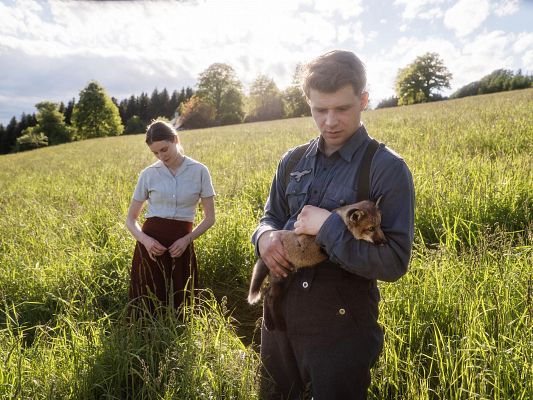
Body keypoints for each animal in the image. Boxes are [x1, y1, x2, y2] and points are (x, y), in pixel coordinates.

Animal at [247, 198, 384, 332]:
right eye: (371, 228)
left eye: (379, 226)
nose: (384, 241)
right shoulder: (306, 242)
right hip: (281, 278)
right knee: (268, 296)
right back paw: (273, 324)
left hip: (284, 280)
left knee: (268, 296)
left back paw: (274, 323)